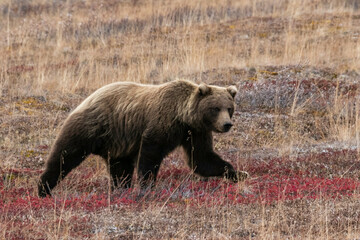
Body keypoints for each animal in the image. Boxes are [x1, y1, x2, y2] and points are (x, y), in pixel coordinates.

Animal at [38, 79, 249, 197]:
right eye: (215, 108)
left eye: (229, 108)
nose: (227, 124)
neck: (183, 117)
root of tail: (88, 97)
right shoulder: (161, 124)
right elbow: (150, 155)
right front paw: (148, 186)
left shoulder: (195, 132)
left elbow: (202, 159)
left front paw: (239, 173)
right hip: (91, 127)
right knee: (64, 155)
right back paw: (44, 188)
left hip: (117, 142)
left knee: (120, 169)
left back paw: (120, 190)